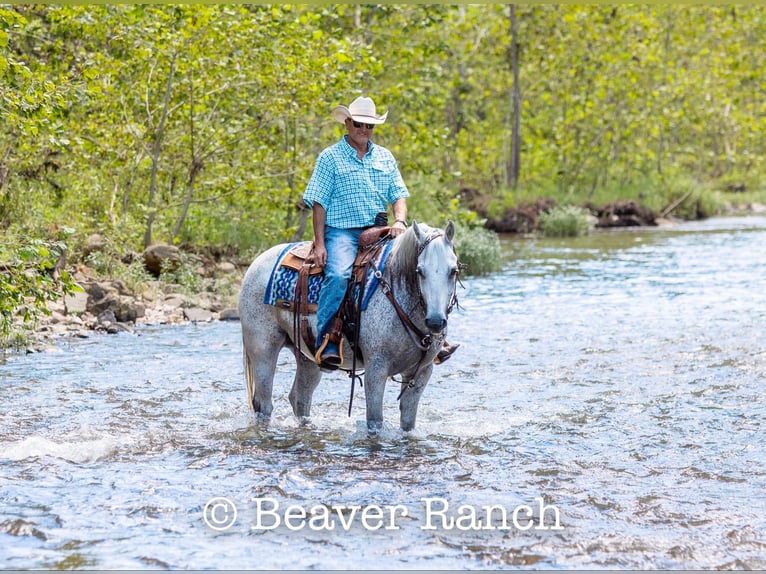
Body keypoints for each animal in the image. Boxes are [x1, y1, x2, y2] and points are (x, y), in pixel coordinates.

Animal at [238, 221, 460, 433]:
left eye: (454, 271)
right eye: (419, 271)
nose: (435, 322)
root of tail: (257, 262)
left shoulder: (422, 372)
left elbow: (407, 423)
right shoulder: (376, 368)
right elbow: (375, 421)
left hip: (307, 357)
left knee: (300, 399)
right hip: (263, 350)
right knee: (264, 405)